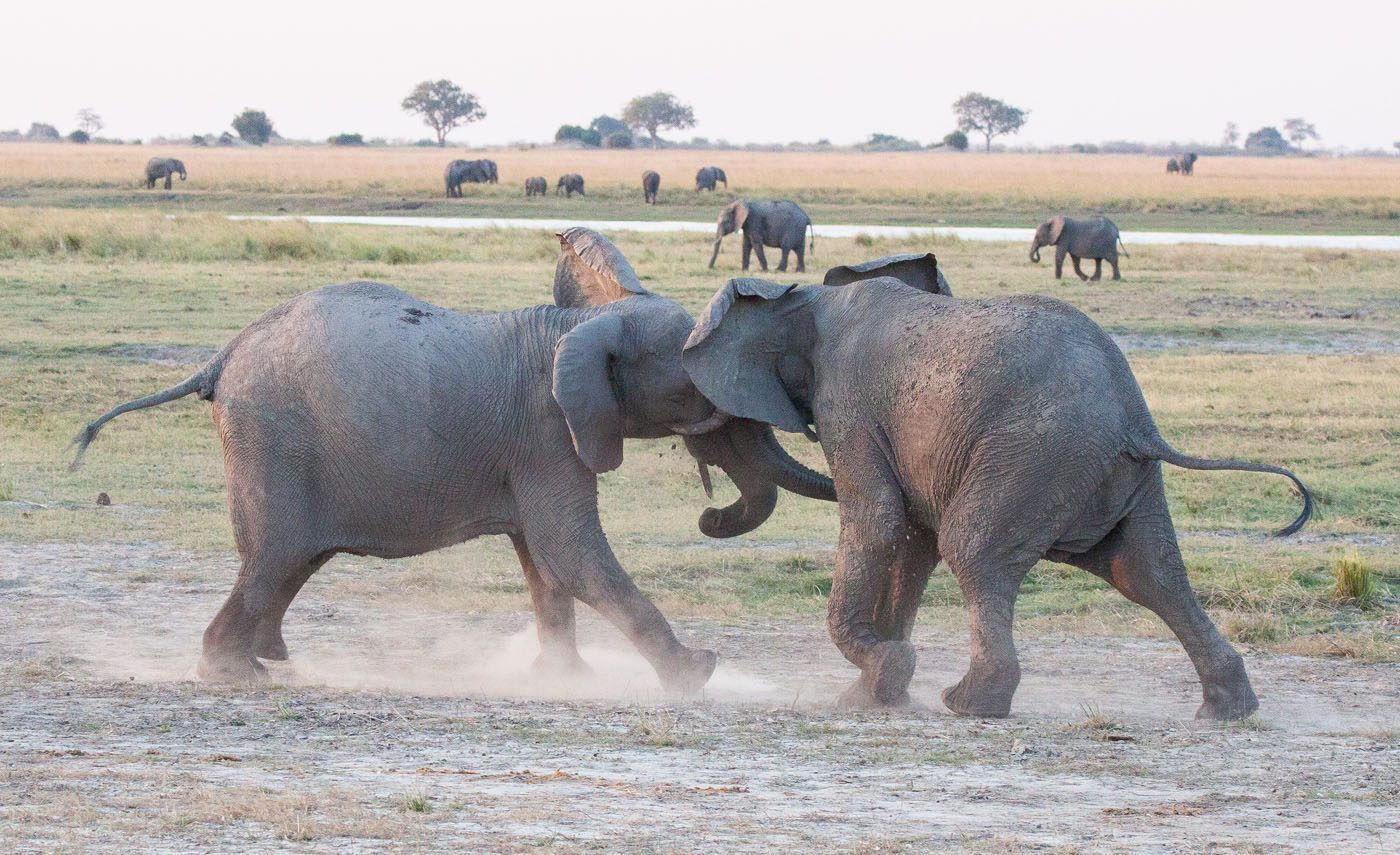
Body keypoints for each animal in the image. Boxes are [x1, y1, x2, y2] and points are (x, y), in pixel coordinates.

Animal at [71, 225, 828, 688]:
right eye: (697, 388)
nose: (710, 514)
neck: (582, 324)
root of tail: (219, 358)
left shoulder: (537, 447)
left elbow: (545, 564)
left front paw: (566, 681)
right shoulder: (548, 434)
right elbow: (573, 553)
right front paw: (696, 674)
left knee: (291, 561)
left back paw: (267, 662)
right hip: (273, 441)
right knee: (274, 555)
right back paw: (234, 672)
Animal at [680, 260, 1310, 722]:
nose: (708, 516)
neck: (807, 297)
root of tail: (1135, 420)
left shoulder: (848, 404)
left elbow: (880, 520)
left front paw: (884, 674)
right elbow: (913, 538)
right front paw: (876, 692)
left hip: (1034, 458)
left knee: (973, 550)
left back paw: (969, 704)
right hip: (1106, 475)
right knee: (1148, 573)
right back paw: (1227, 711)